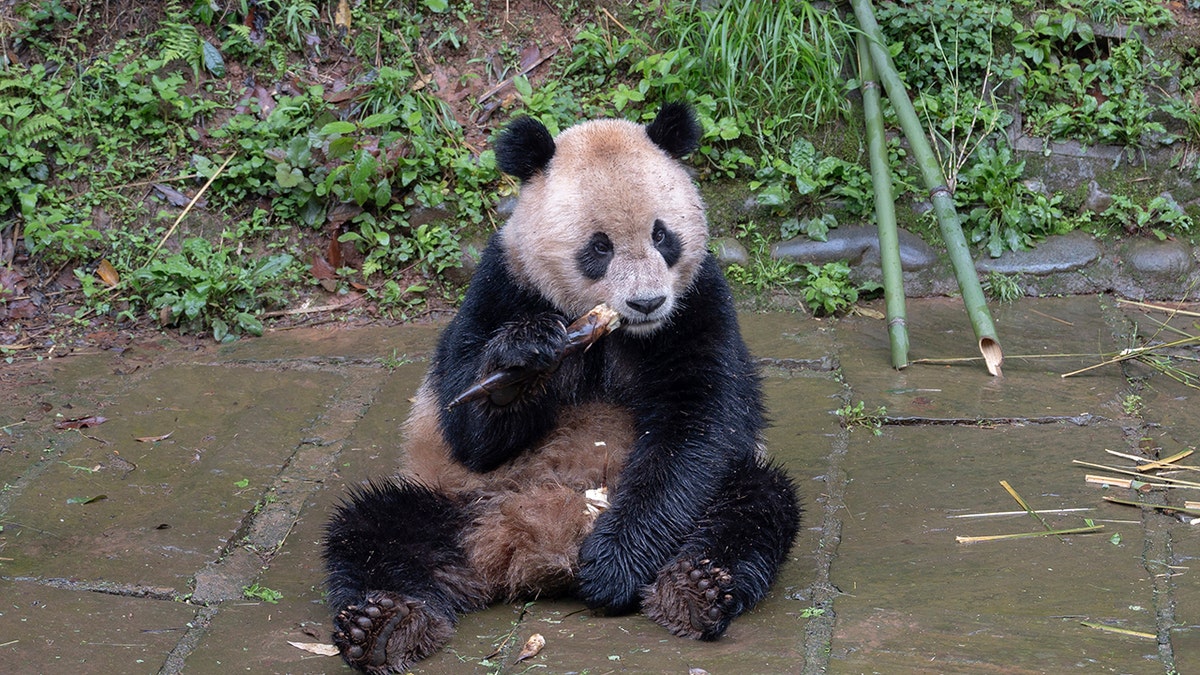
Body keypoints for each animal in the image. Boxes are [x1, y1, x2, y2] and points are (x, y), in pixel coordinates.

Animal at [324, 102, 801, 667]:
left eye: (663, 236)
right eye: (599, 247)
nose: (646, 302)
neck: (612, 332)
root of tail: (533, 545)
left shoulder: (697, 304)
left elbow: (699, 425)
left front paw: (615, 567)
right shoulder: (503, 285)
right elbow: (466, 426)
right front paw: (520, 364)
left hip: (716, 496)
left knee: (755, 505)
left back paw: (694, 590)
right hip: (456, 501)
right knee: (373, 528)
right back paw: (386, 624)